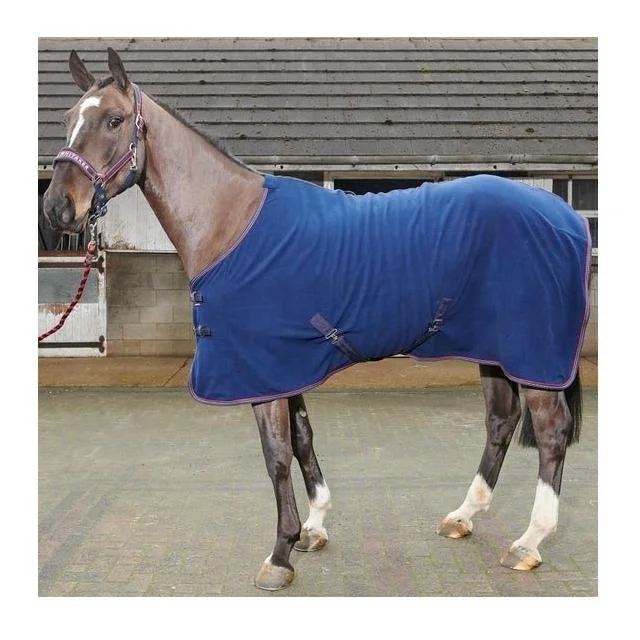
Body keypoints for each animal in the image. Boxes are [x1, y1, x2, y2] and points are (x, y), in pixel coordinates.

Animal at [42, 48, 591, 592]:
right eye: (68, 119)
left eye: (113, 120)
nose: (57, 208)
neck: (233, 223)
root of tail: (565, 216)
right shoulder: (283, 366)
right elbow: (303, 441)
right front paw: (314, 527)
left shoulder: (261, 370)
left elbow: (276, 455)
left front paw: (280, 554)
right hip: (494, 350)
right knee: (500, 422)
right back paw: (463, 516)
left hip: (532, 354)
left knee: (551, 432)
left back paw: (529, 542)